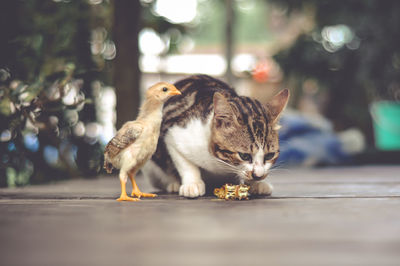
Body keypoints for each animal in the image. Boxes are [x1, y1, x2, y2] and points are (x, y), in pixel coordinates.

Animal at [142, 75, 290, 197]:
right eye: (244, 155)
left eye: (269, 155)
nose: (258, 176)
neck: (220, 164)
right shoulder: (174, 134)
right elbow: (185, 163)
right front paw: (192, 183)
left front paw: (256, 184)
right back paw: (172, 183)